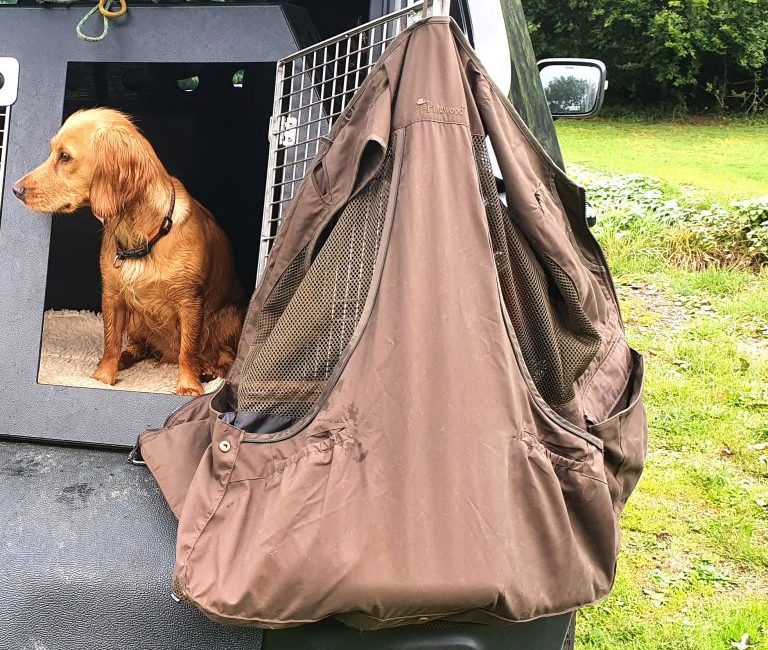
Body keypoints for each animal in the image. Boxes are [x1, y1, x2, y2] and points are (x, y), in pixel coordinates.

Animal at [15, 108, 244, 392]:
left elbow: (188, 351)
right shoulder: (112, 297)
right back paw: (127, 357)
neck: (141, 236)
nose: (15, 190)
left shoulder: (191, 302)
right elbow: (111, 341)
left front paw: (189, 385)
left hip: (230, 318)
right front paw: (103, 376)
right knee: (137, 345)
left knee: (224, 355)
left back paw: (211, 369)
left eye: (65, 157)